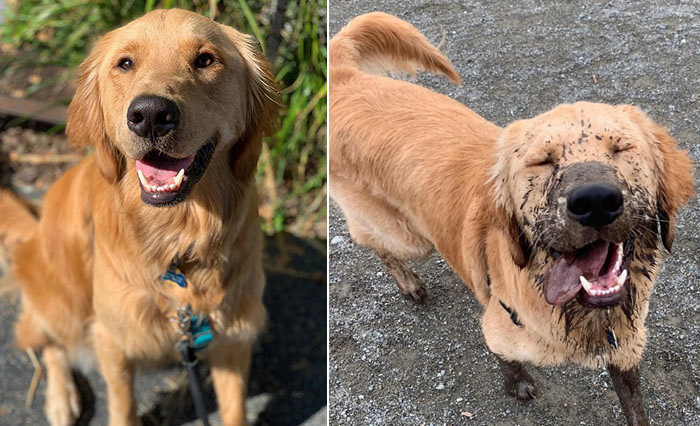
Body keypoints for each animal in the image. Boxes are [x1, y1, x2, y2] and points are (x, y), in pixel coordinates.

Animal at [0, 9, 278, 426]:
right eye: (125, 63)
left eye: (206, 60)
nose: (150, 114)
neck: (176, 242)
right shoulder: (113, 340)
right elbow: (123, 406)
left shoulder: (232, 339)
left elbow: (234, 411)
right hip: (63, 295)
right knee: (47, 338)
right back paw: (61, 399)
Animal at [328, 11, 696, 424]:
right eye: (543, 161)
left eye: (621, 148)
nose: (595, 201)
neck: (580, 316)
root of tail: (345, 76)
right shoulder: (497, 330)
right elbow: (505, 360)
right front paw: (517, 383)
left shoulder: (626, 347)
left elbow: (635, 407)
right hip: (408, 238)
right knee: (373, 243)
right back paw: (409, 284)